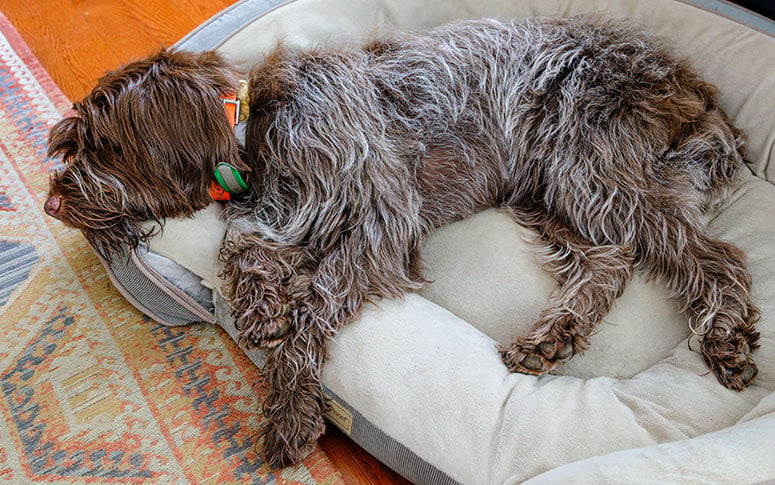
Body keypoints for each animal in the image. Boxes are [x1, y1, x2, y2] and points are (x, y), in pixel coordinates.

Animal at [42, 18, 756, 466]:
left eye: (96, 145)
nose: (51, 203)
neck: (255, 132)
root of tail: (689, 81)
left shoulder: (378, 228)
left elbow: (309, 308)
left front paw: (290, 408)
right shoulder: (283, 216)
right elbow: (242, 245)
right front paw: (258, 306)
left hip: (591, 169)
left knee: (712, 256)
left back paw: (724, 334)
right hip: (547, 188)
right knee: (608, 263)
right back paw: (552, 336)